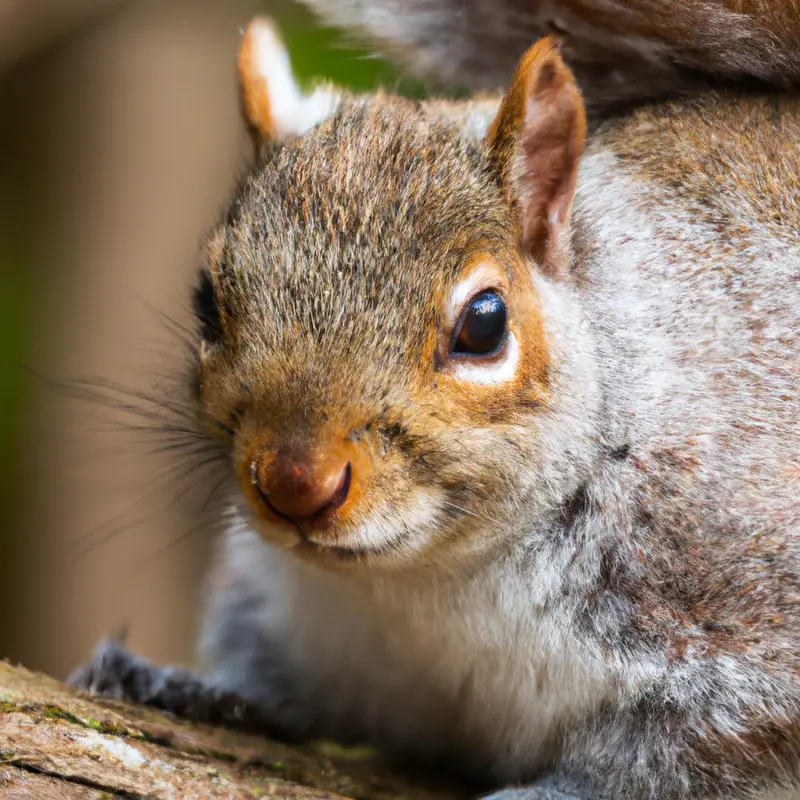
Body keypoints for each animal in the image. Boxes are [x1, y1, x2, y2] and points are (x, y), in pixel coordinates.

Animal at [70, 10, 800, 800]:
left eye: (485, 324)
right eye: (207, 301)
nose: (296, 485)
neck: (431, 580)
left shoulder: (743, 627)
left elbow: (679, 760)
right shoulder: (293, 613)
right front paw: (187, 686)